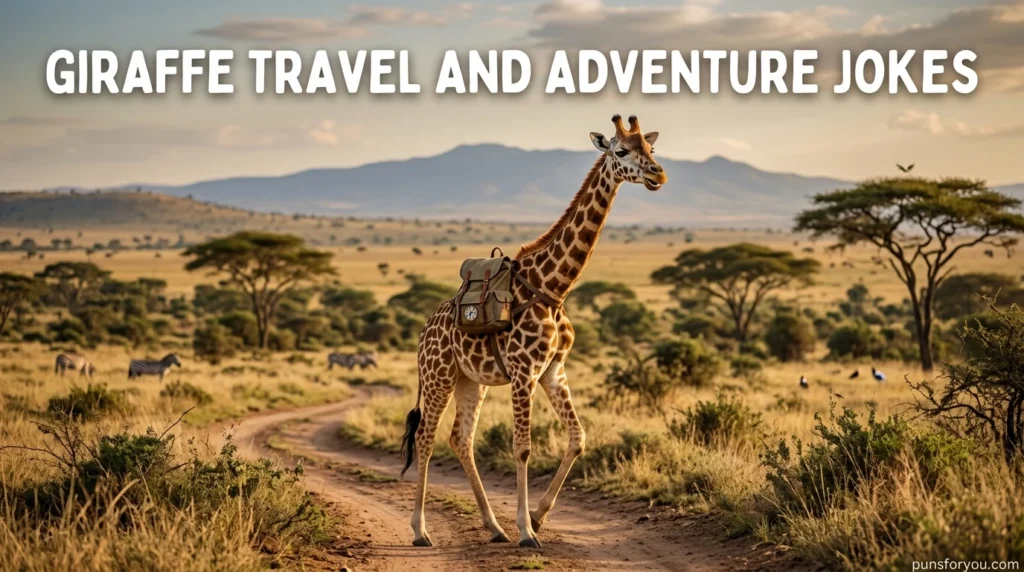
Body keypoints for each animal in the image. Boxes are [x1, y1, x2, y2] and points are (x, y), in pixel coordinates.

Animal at [400, 114, 667, 548]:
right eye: (621, 150)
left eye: (652, 148)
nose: (658, 174)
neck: (554, 287)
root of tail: (424, 332)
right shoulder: (524, 372)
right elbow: (523, 448)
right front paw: (526, 531)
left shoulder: (554, 371)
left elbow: (578, 438)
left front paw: (539, 518)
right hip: (438, 375)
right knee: (425, 437)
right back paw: (421, 530)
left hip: (470, 380)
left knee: (461, 438)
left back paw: (493, 527)